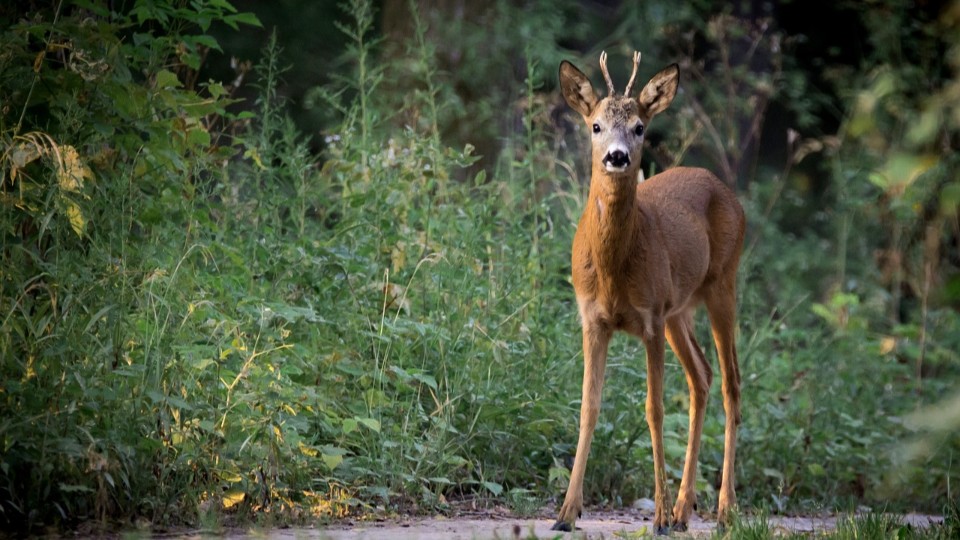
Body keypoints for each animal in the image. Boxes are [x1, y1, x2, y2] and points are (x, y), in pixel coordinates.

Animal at [552, 51, 748, 536]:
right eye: (596, 125)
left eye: (640, 126)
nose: (618, 157)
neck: (613, 271)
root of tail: (726, 190)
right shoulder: (593, 319)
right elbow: (588, 407)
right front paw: (566, 512)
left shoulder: (650, 317)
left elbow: (654, 410)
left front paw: (656, 516)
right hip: (680, 310)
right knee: (702, 377)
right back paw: (683, 509)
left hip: (722, 284)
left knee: (731, 383)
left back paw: (723, 509)